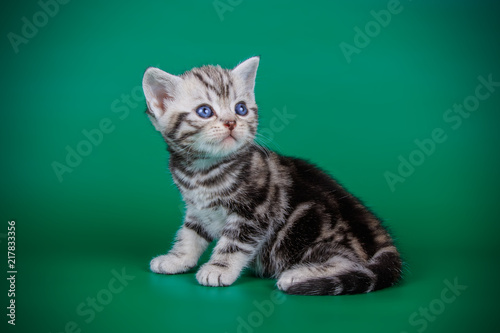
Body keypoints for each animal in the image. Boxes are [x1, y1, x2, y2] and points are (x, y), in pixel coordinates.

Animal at [141, 57, 402, 296]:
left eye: (241, 108)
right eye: (205, 111)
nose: (231, 122)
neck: (203, 171)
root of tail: (382, 236)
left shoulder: (256, 212)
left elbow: (233, 243)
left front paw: (219, 268)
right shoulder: (197, 209)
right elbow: (189, 235)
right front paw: (176, 259)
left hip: (307, 227)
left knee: (352, 262)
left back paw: (297, 275)